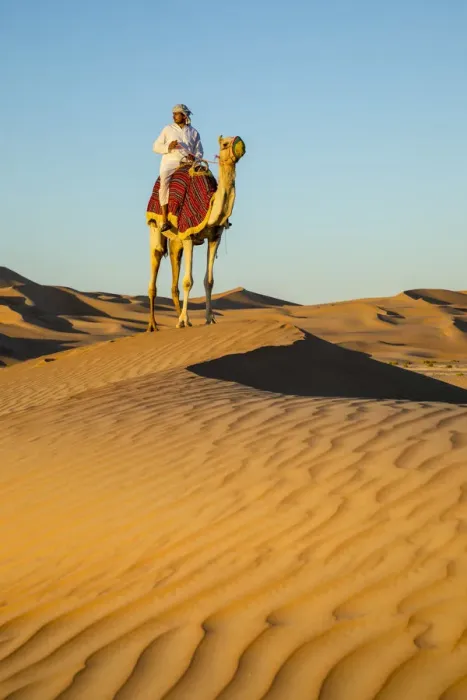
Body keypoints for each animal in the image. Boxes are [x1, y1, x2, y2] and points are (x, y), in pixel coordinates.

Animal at [146, 135, 245, 331]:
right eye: (225, 144)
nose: (240, 146)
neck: (207, 205)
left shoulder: (215, 237)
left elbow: (209, 281)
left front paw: (209, 318)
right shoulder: (189, 236)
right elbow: (188, 281)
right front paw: (183, 320)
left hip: (176, 241)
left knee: (174, 277)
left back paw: (184, 319)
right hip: (156, 226)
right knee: (156, 257)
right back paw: (153, 325)